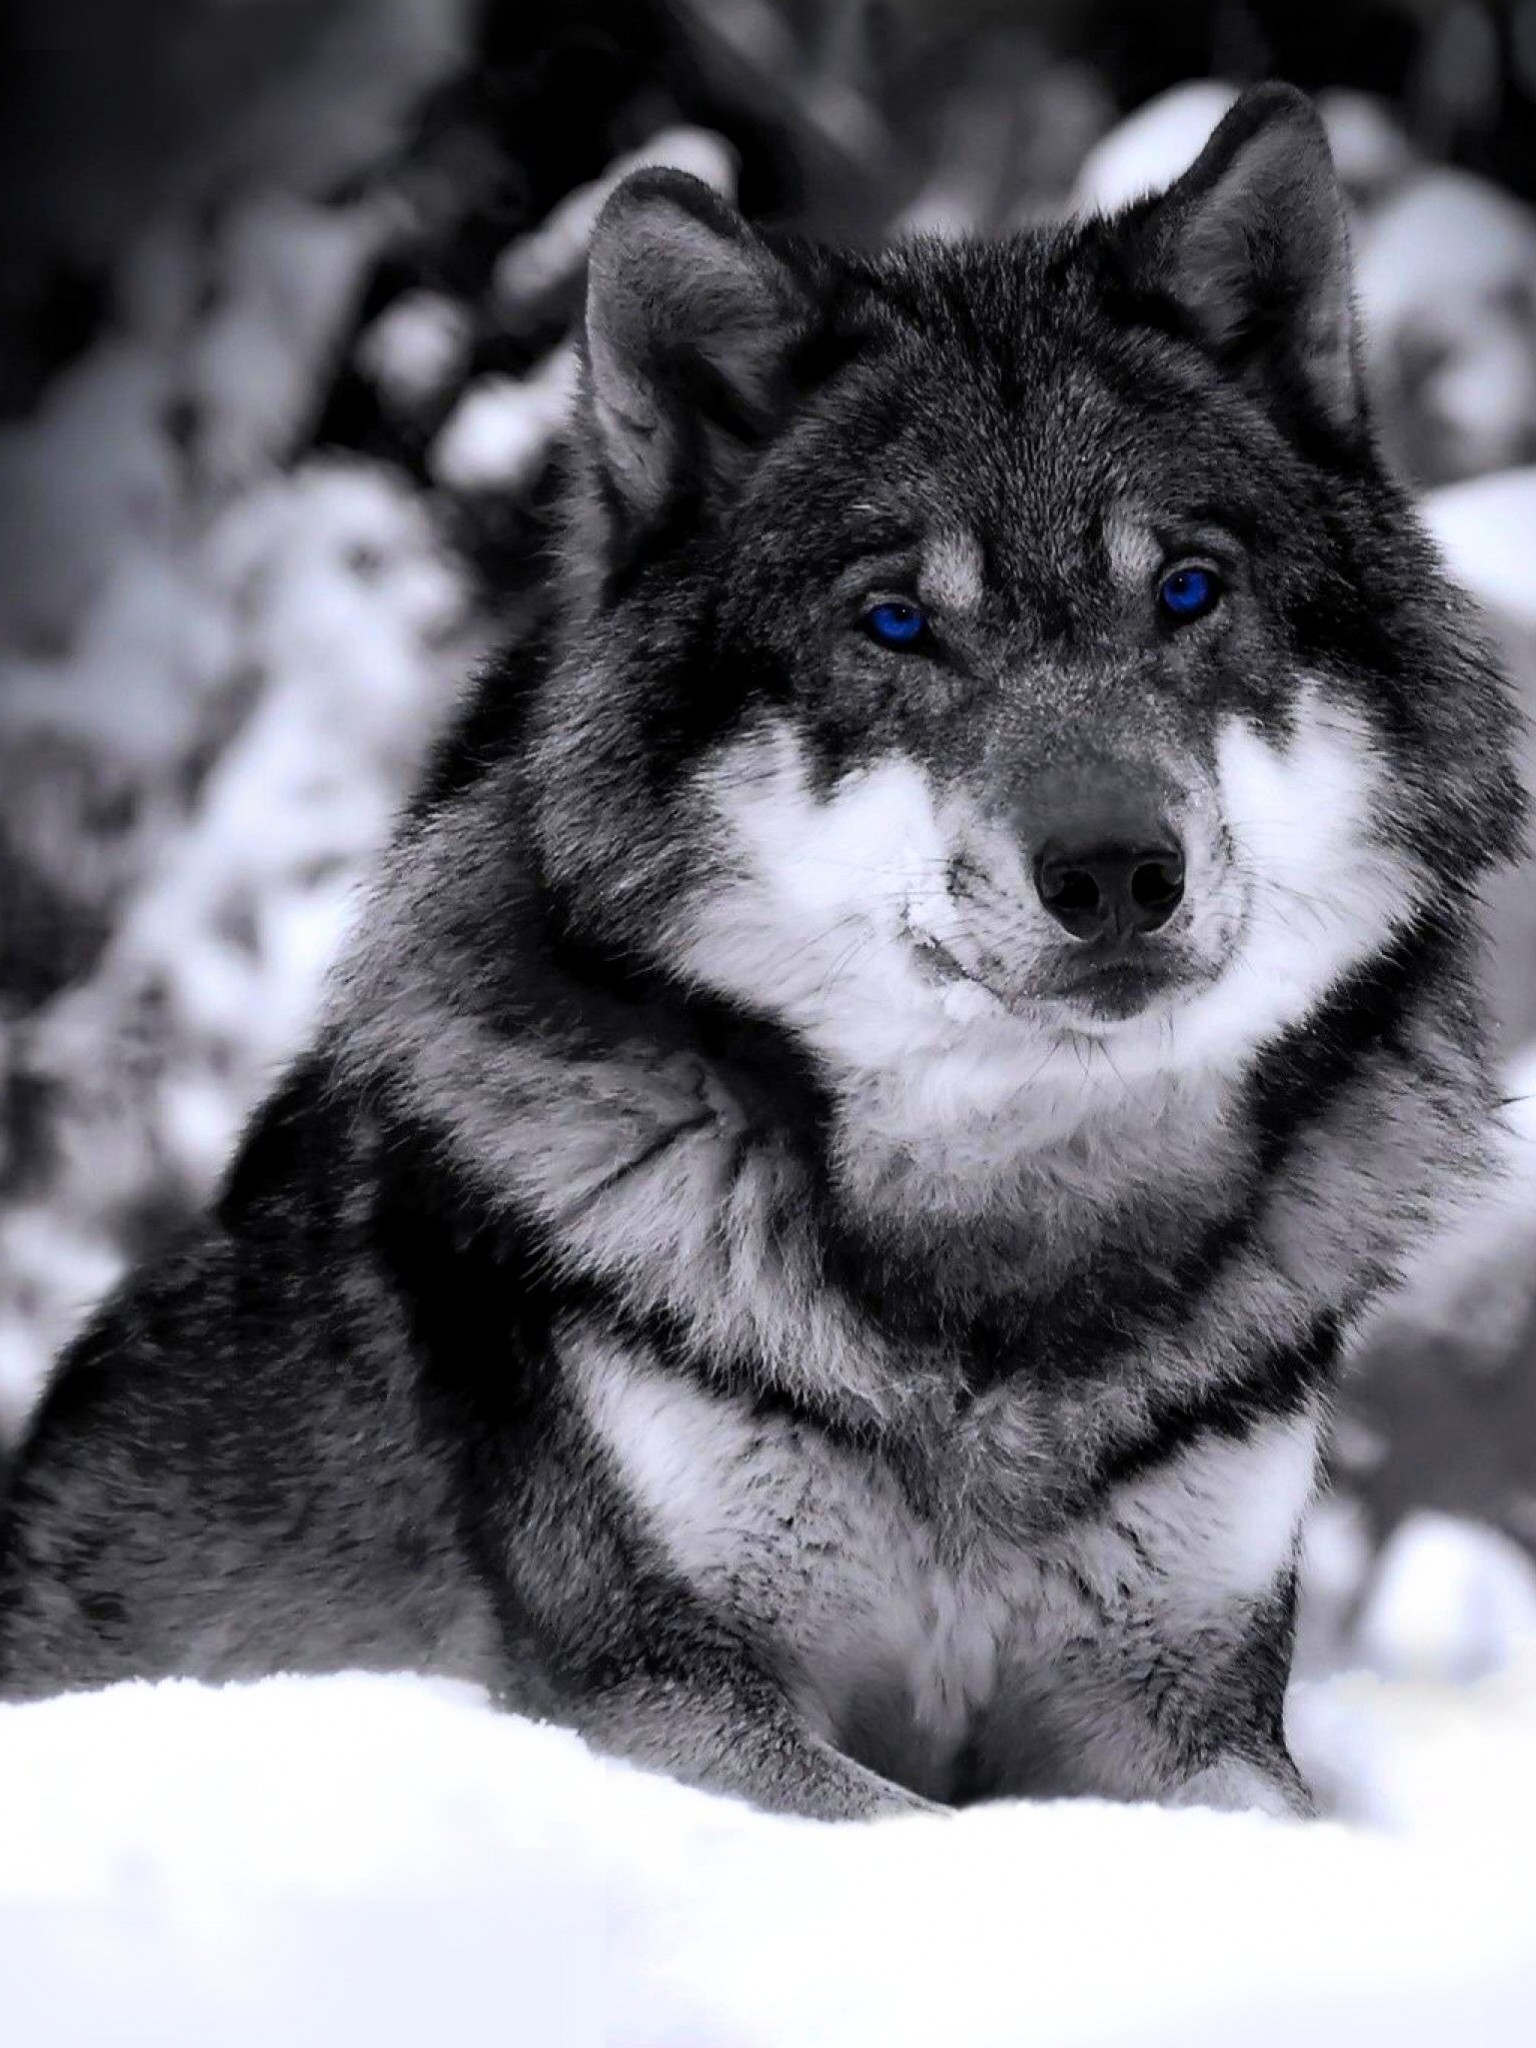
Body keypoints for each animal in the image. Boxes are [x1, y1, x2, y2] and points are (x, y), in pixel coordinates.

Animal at [0, 88, 1523, 1818]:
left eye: (1189, 592)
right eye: (897, 623)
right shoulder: (659, 1696)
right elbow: (912, 1832)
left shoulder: (1192, 1713)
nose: (1119, 873)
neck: (1001, 1272)